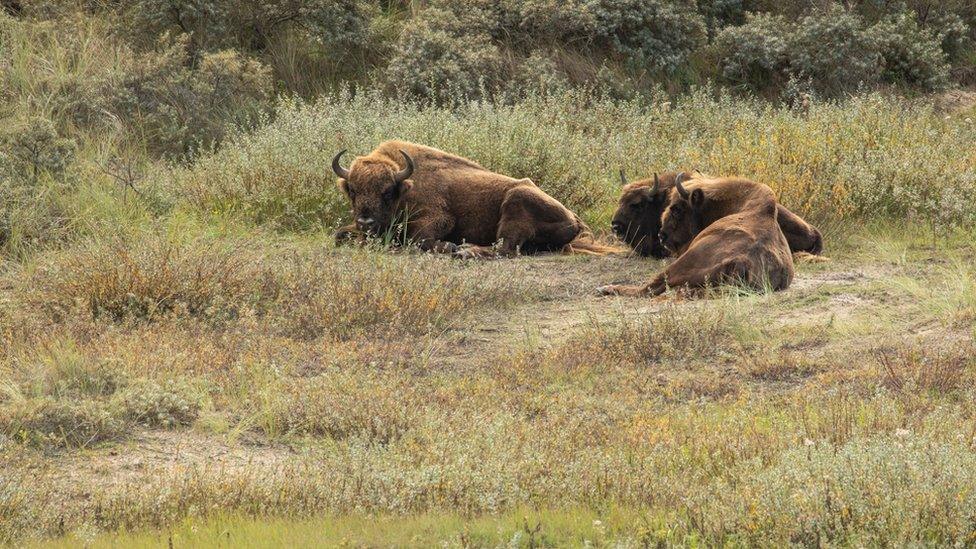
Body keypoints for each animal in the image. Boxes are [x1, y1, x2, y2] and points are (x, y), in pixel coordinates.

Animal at [600, 174, 796, 296]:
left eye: (677, 208)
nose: (662, 236)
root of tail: (742, 261)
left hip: (682, 262)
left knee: (650, 288)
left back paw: (606, 288)